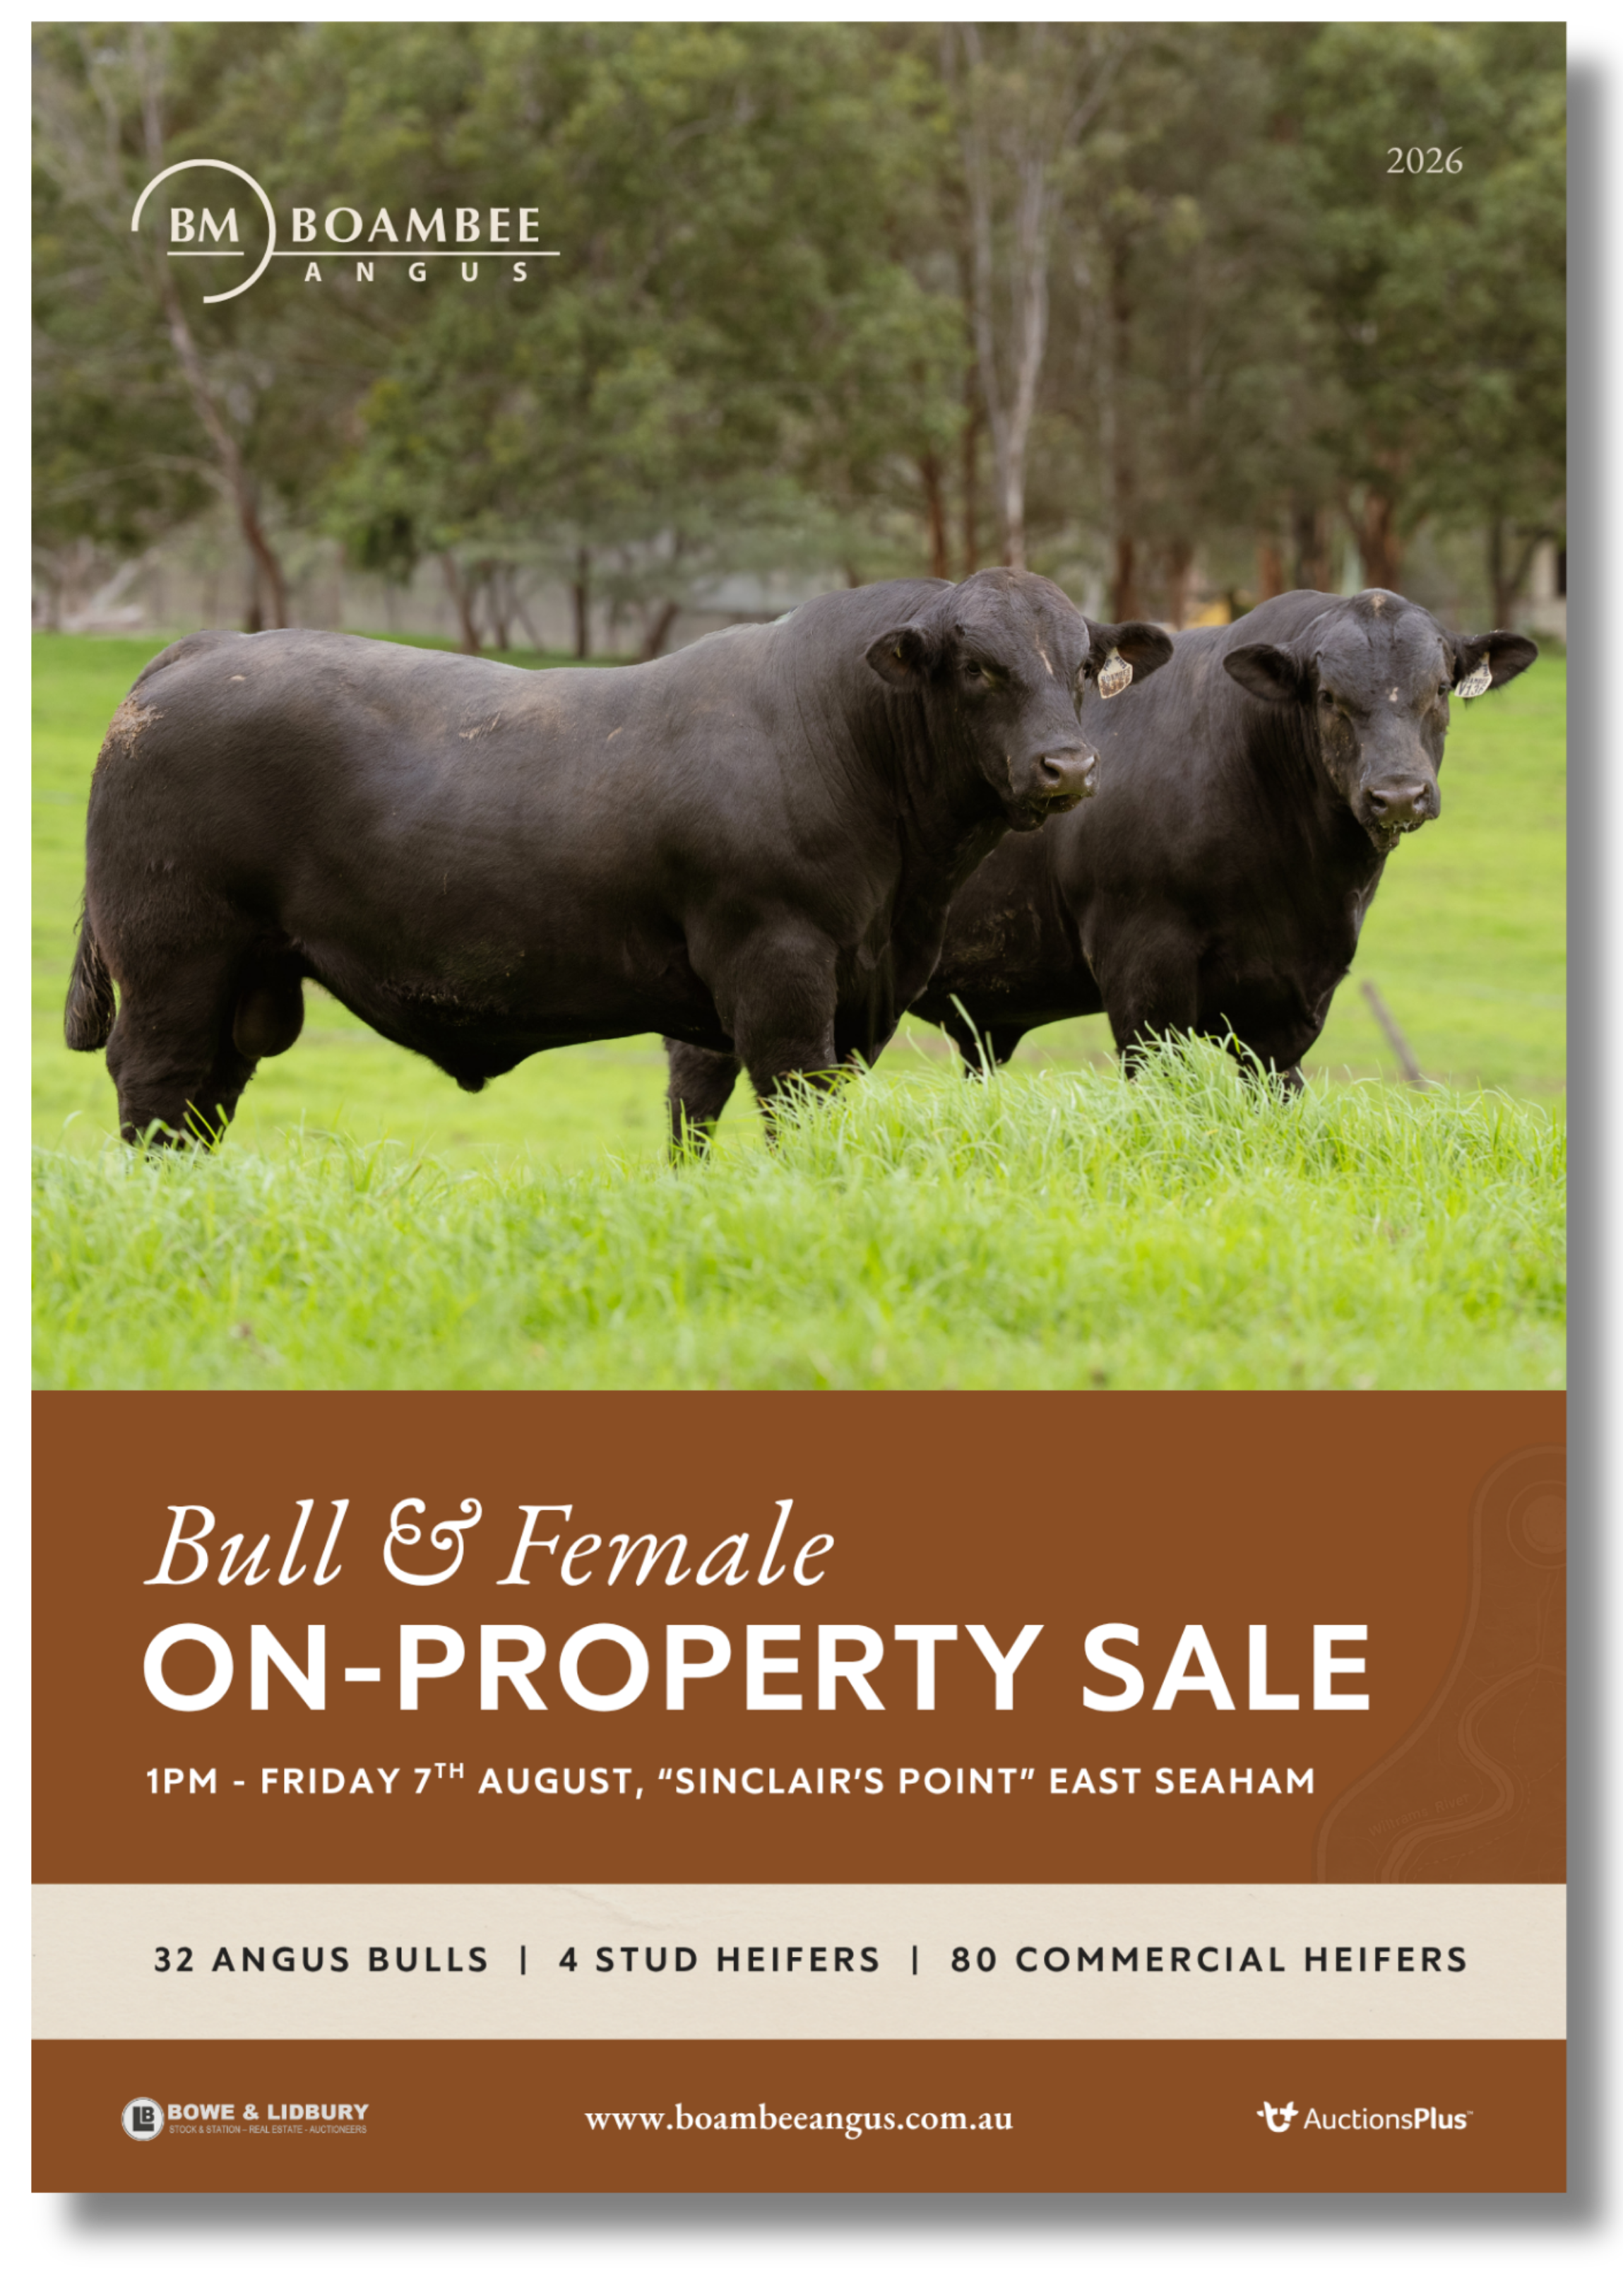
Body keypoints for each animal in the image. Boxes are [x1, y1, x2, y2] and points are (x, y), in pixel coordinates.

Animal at [64, 569, 1172, 1146]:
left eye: (1084, 666)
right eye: (979, 667)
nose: (1067, 766)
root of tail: (205, 646)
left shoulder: (863, 990)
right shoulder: (778, 969)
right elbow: (790, 1102)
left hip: (246, 980)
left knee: (206, 1097)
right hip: (174, 957)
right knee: (157, 1082)